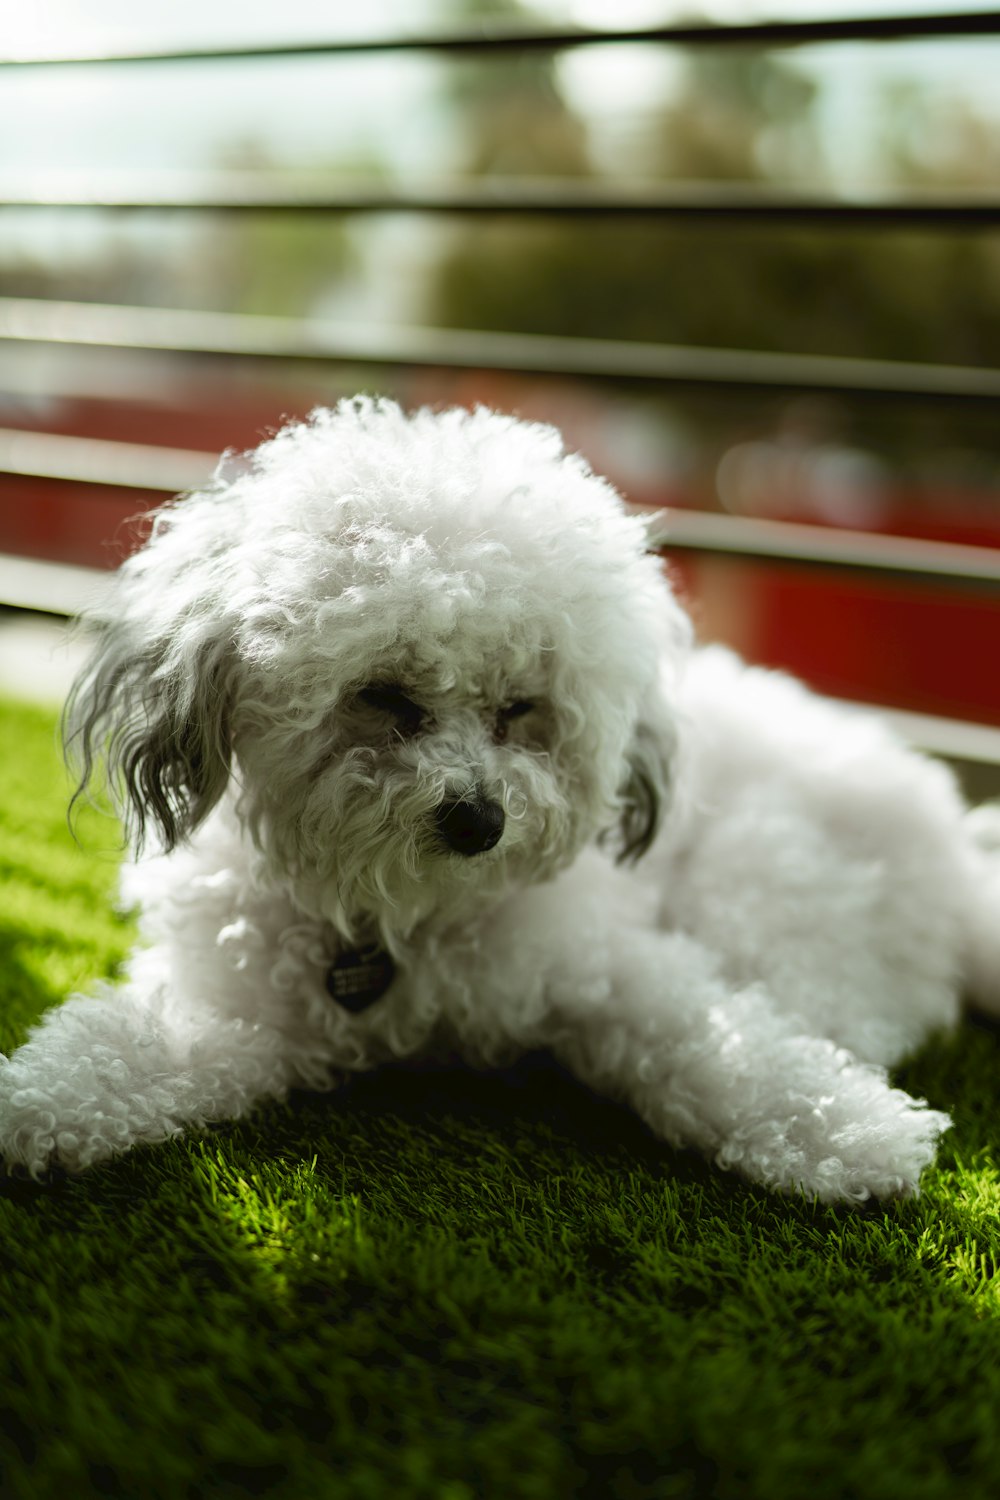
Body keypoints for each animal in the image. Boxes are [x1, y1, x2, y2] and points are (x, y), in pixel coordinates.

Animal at [1, 396, 1000, 1194]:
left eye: (521, 708)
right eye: (384, 697)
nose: (480, 821)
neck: (400, 922)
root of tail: (960, 852)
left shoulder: (610, 964)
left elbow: (720, 1042)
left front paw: (847, 1135)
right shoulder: (236, 1010)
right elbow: (123, 1049)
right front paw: (39, 1105)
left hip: (762, 885)